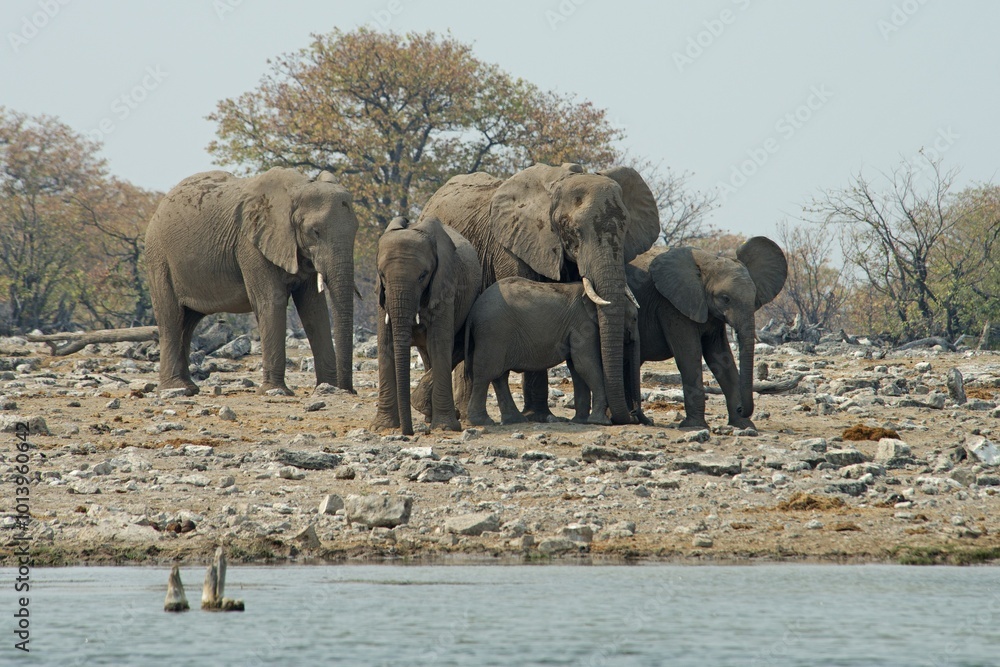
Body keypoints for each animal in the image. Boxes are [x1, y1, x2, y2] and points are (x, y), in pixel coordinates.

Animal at [145, 167, 358, 396]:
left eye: (355, 230)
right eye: (315, 232)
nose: (350, 391)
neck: (299, 188)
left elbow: (314, 308)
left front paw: (328, 388)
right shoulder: (250, 245)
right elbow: (271, 301)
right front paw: (276, 391)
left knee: (188, 321)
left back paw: (188, 388)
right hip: (159, 258)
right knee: (171, 319)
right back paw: (176, 388)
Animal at [370, 216, 482, 436]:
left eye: (423, 275)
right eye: (383, 275)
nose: (409, 432)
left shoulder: (445, 286)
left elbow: (440, 344)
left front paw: (445, 427)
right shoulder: (381, 295)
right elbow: (386, 343)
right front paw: (382, 427)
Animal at [465, 277, 635, 426]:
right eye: (632, 317)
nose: (633, 416)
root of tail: (472, 313)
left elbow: (577, 368)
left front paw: (581, 421)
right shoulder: (583, 325)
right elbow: (586, 365)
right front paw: (600, 422)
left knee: (499, 376)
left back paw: (514, 420)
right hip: (494, 333)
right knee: (486, 374)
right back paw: (482, 421)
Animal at [624, 237, 787, 429]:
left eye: (754, 297)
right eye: (725, 298)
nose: (741, 408)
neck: (707, 263)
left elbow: (721, 357)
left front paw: (744, 425)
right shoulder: (671, 305)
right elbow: (690, 354)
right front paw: (695, 426)